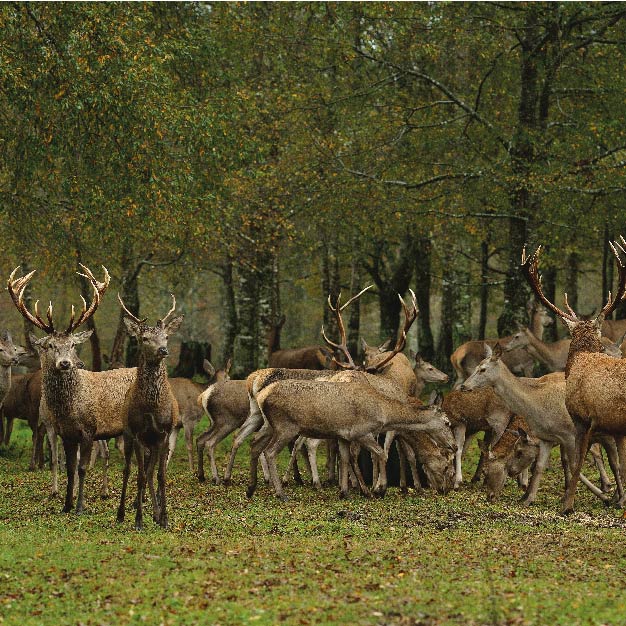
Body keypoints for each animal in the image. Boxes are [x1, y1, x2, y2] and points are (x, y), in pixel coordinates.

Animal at [7, 264, 139, 512]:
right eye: (50, 345)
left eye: (72, 345)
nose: (66, 363)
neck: (68, 410)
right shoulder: (64, 433)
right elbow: (68, 467)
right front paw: (66, 505)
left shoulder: (88, 429)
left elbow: (82, 467)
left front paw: (79, 506)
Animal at [116, 294, 183, 528]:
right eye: (144, 338)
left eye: (166, 337)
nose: (163, 350)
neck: (152, 408)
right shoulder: (137, 433)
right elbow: (140, 476)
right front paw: (138, 520)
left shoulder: (163, 433)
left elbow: (160, 476)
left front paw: (164, 518)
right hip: (127, 435)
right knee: (128, 470)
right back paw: (120, 514)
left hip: (153, 443)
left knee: (151, 470)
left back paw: (154, 512)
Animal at [520, 239, 626, 512]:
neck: (581, 359)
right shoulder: (616, 429)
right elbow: (620, 464)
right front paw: (618, 499)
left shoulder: (584, 418)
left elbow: (576, 462)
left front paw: (567, 503)